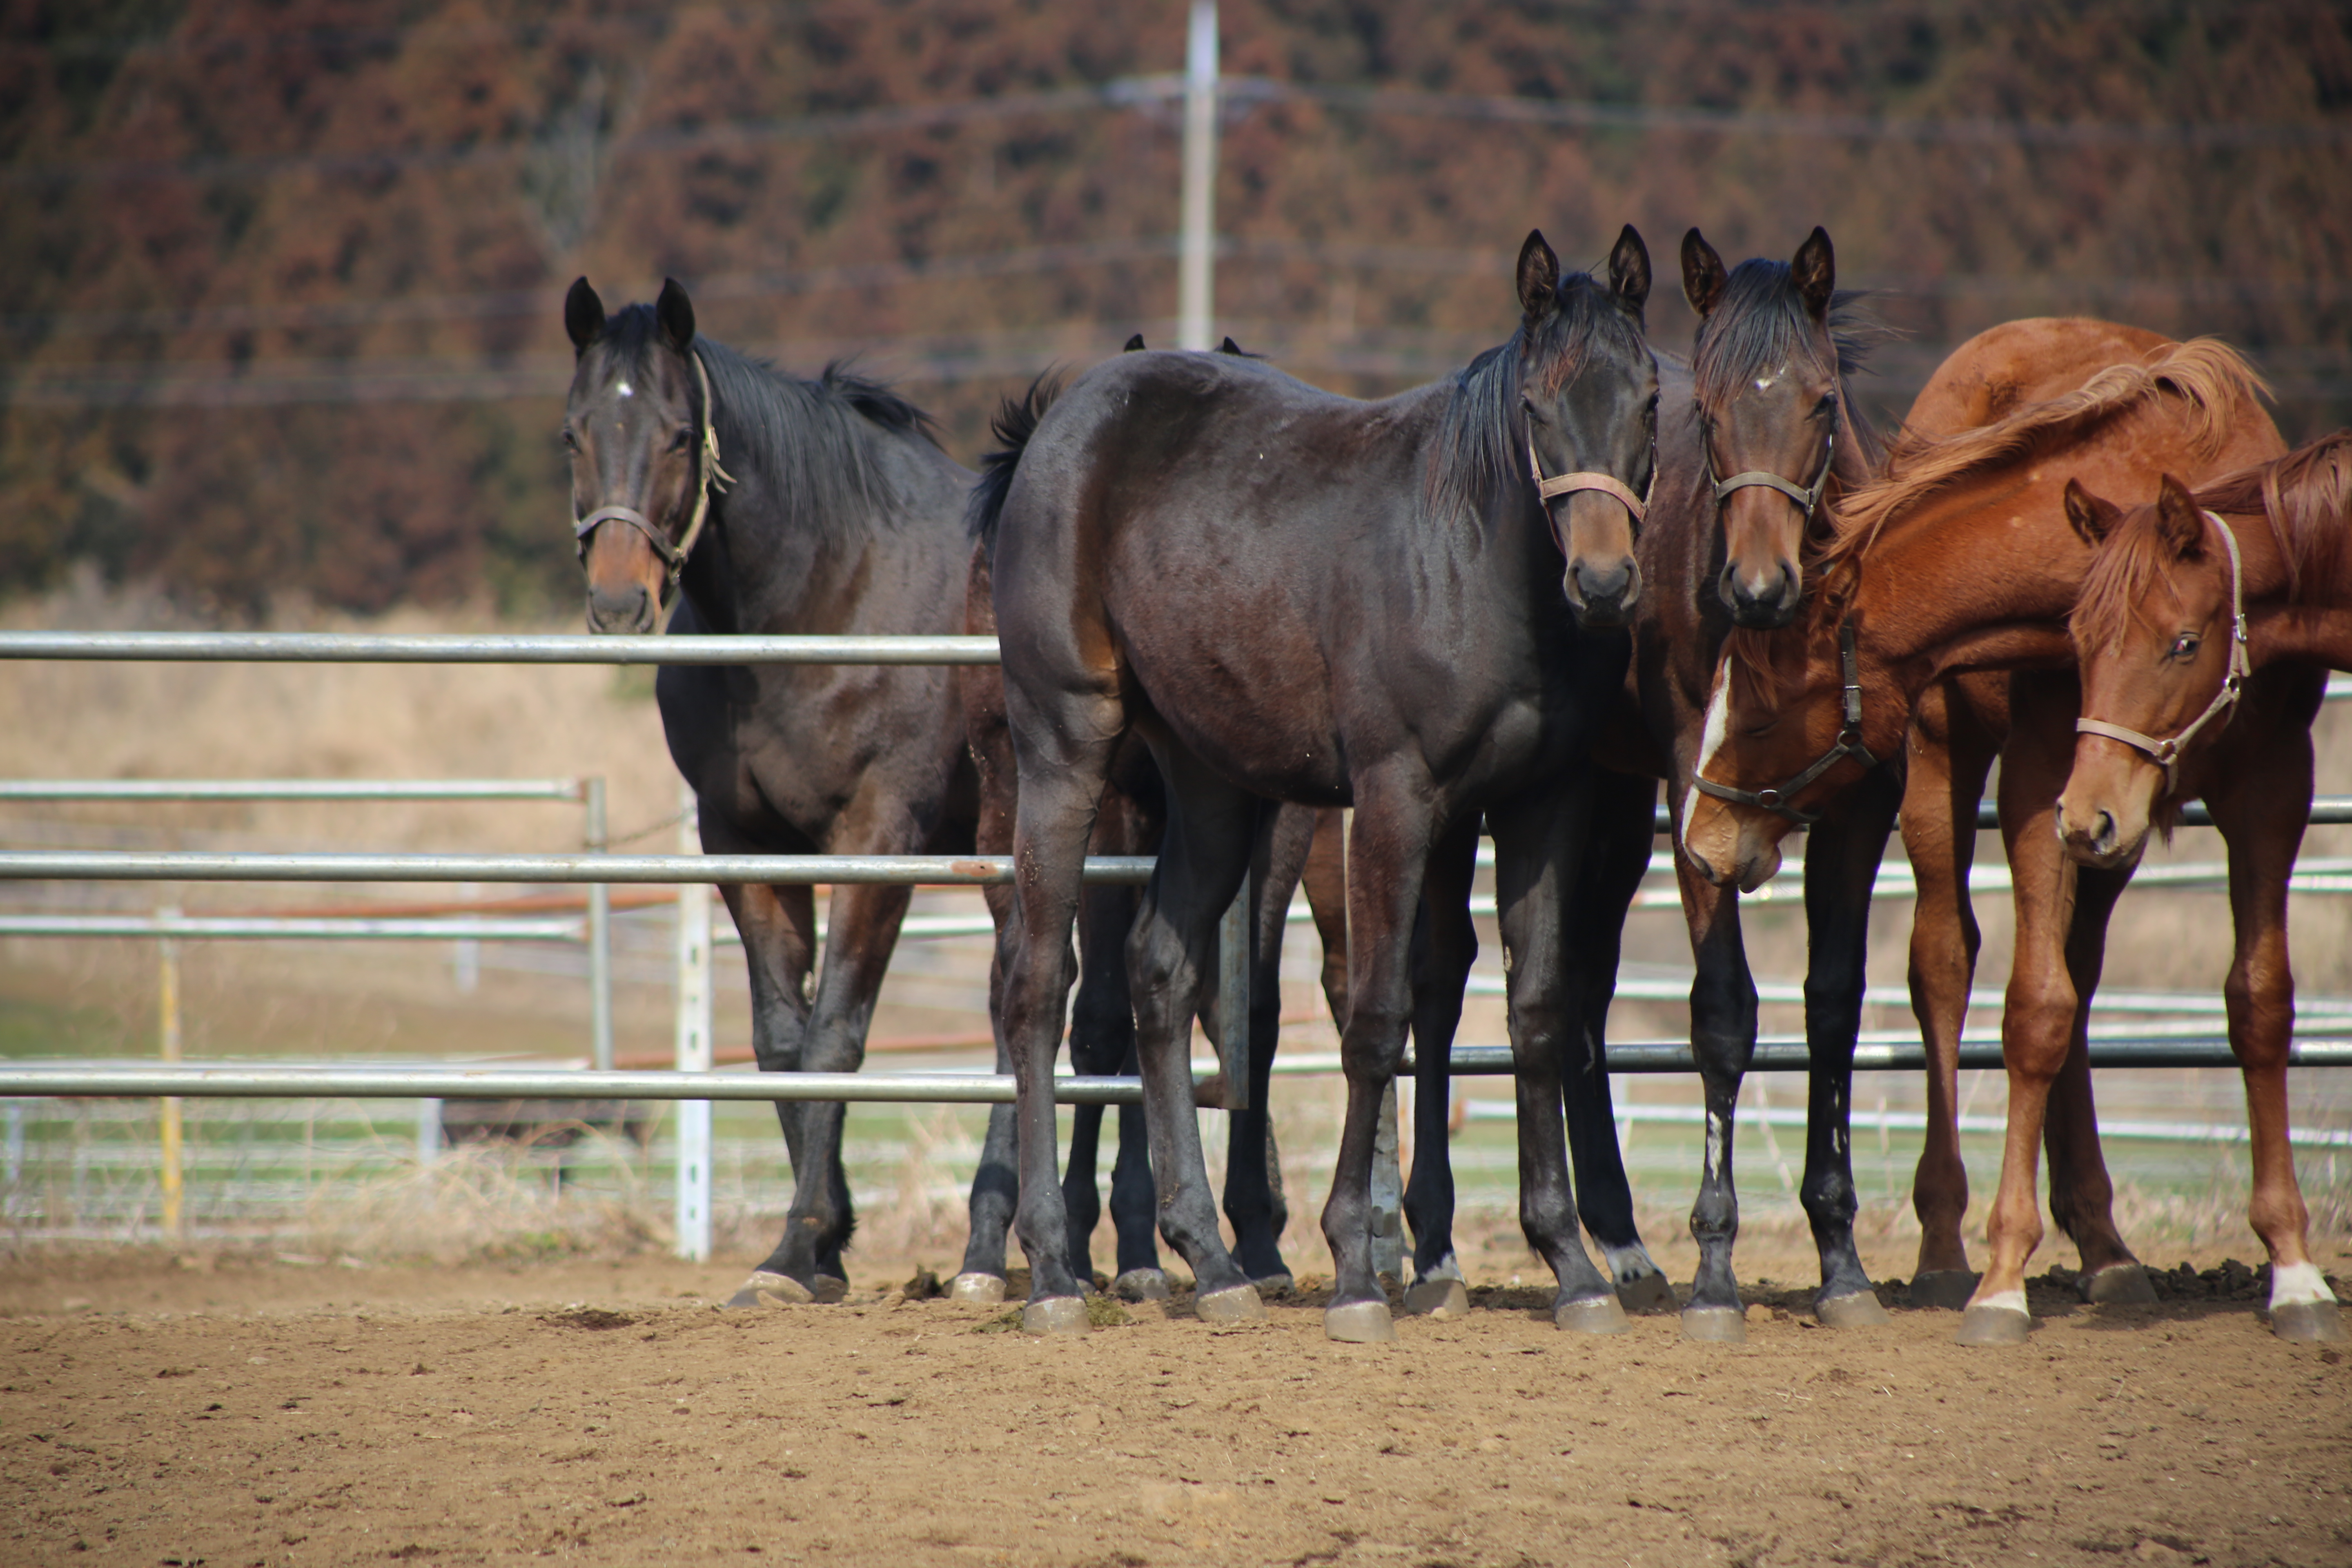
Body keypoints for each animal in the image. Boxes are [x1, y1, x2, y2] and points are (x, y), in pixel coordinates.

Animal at [983, 227, 1665, 1345]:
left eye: (1649, 398)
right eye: (1536, 406)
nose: (1604, 584)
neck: (1469, 559)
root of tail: (1062, 422)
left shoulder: (1542, 806)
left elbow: (1534, 1011)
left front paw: (1571, 1264)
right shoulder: (1395, 800)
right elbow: (1377, 1020)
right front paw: (1355, 1267)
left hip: (1210, 786)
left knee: (1159, 970)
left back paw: (1213, 1263)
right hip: (1064, 753)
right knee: (1038, 988)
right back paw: (1049, 1269)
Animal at [1675, 339, 2295, 1345]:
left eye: (1762, 711)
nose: (1696, 841)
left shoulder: (2264, 784)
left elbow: (2229, 997)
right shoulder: (2048, 778)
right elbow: (2027, 1005)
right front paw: (1996, 1270)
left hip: (2106, 838)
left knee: (2076, 973)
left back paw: (2106, 1248)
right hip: (1945, 772)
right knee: (1945, 962)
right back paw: (1945, 1245)